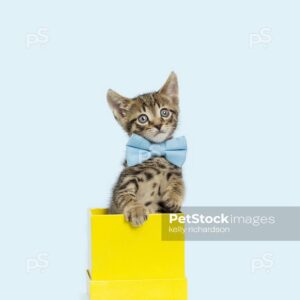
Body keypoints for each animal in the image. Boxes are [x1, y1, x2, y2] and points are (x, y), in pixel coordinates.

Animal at [106, 72, 184, 226]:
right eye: (143, 118)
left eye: (164, 112)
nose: (158, 125)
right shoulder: (125, 180)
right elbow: (125, 195)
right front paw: (136, 210)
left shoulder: (175, 170)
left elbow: (179, 183)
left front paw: (174, 197)